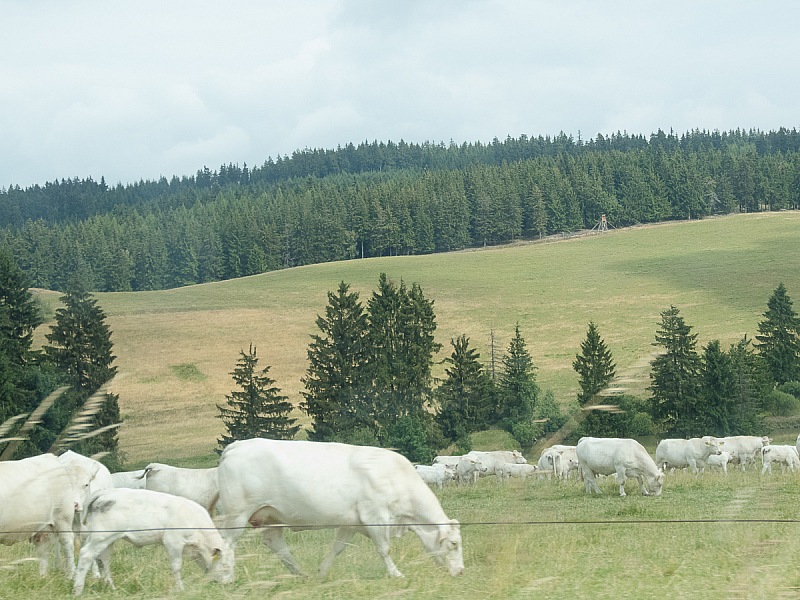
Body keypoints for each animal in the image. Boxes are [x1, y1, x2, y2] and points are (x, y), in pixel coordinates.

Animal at [72, 488, 233, 596]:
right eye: (225, 566)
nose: (230, 583)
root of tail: (105, 493)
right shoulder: (173, 542)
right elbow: (177, 567)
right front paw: (180, 589)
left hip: (107, 540)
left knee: (104, 559)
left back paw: (111, 587)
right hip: (101, 537)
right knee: (86, 555)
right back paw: (78, 590)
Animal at [216, 438, 466, 580]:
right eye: (454, 544)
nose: (461, 571)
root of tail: (237, 445)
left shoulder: (351, 523)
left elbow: (337, 548)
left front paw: (322, 572)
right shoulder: (375, 516)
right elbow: (384, 549)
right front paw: (396, 574)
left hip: (270, 516)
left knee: (277, 546)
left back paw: (301, 574)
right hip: (237, 515)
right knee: (226, 545)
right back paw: (226, 577)